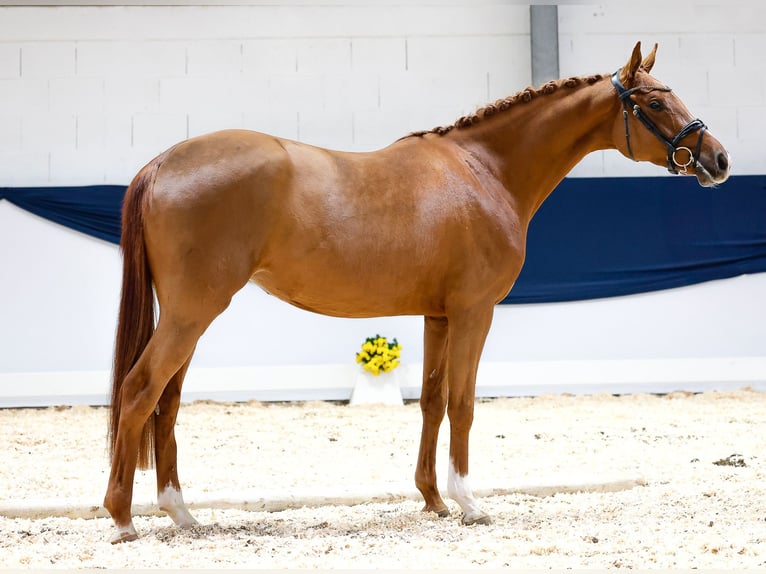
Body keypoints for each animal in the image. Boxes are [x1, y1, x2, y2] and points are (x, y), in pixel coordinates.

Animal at [103, 42, 732, 544]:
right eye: (654, 103)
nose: (718, 160)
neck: (484, 171)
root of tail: (162, 163)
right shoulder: (475, 312)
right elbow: (463, 403)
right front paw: (469, 502)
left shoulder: (438, 316)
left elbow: (431, 400)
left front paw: (431, 499)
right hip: (192, 312)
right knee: (139, 391)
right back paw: (123, 517)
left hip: (187, 314)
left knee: (166, 401)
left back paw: (181, 514)